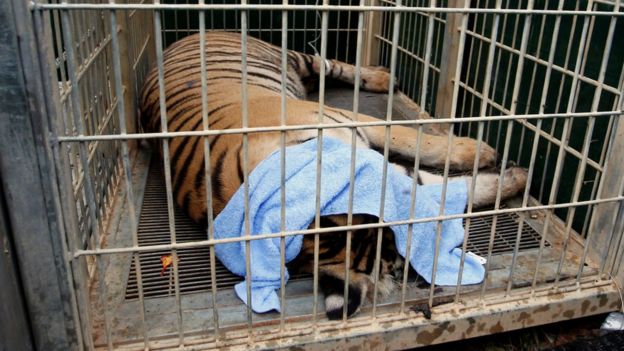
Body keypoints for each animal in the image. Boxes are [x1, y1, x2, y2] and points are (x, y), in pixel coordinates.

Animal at [140, 31, 528, 320]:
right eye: (398, 262)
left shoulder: (355, 123)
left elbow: (416, 139)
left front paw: (480, 153)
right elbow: (444, 184)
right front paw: (512, 177)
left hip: (294, 57)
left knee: (332, 65)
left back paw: (383, 77)